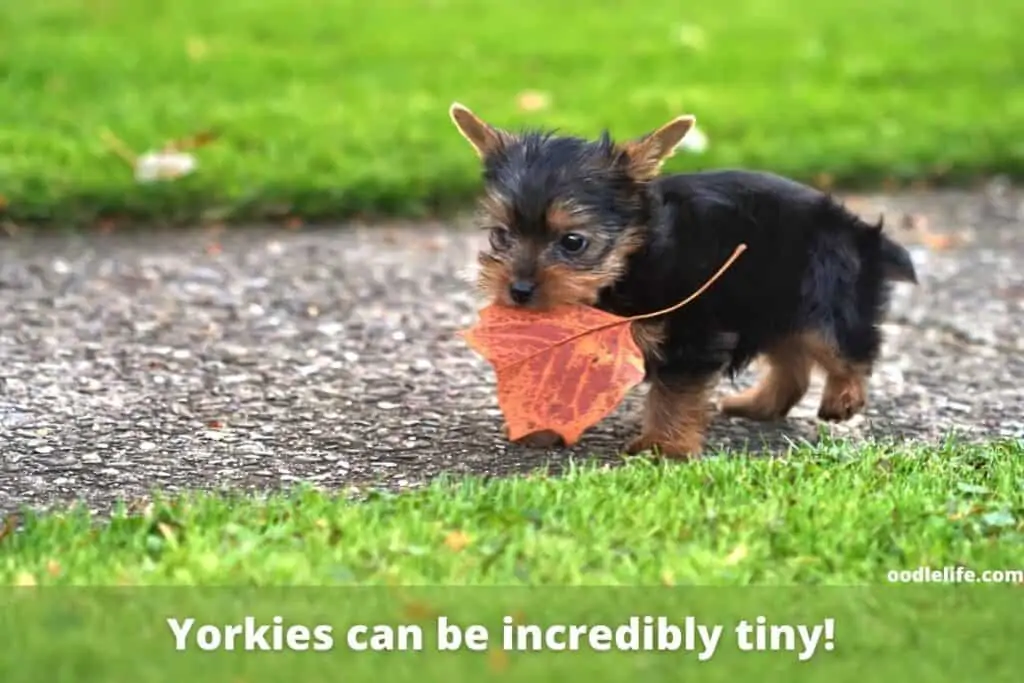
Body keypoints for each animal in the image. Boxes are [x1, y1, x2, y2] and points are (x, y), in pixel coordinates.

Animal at [452, 101, 917, 458]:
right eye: (500, 236)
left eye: (572, 242)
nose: (518, 290)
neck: (628, 264)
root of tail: (856, 227)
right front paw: (542, 424)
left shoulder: (691, 330)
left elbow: (674, 392)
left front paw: (663, 446)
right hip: (769, 299)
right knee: (793, 361)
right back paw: (759, 404)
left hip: (824, 289)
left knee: (844, 343)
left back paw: (843, 396)